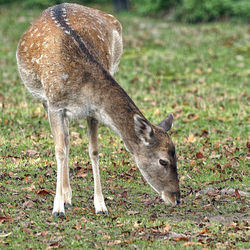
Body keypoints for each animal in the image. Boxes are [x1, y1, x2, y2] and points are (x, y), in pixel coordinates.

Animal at [16, 2, 180, 217]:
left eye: (176, 155)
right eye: (163, 161)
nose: (176, 198)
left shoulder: (92, 111)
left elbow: (93, 151)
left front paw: (100, 205)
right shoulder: (54, 105)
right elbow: (59, 150)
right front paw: (57, 208)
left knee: (68, 139)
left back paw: (68, 195)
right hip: (43, 98)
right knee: (64, 142)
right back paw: (65, 197)